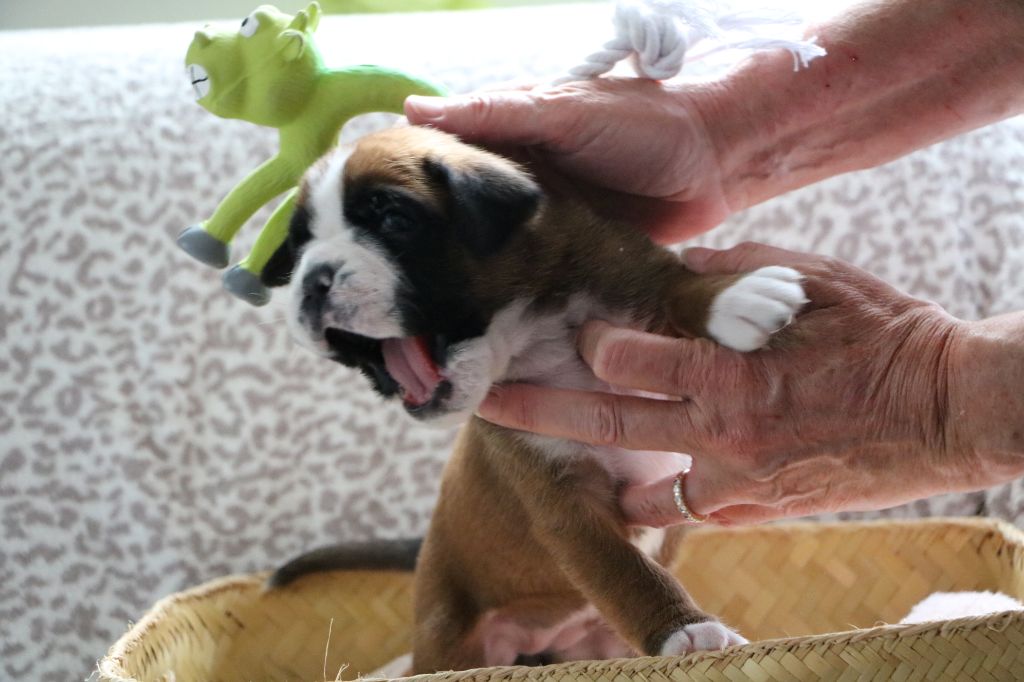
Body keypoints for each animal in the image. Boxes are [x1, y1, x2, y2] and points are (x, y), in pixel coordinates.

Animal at [261, 125, 806, 672]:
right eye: (299, 250)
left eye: (394, 220)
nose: (311, 282)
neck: (530, 332)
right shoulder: (564, 501)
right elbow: (625, 570)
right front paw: (685, 632)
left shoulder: (619, 261)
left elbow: (672, 283)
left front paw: (731, 297)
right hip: (449, 638)